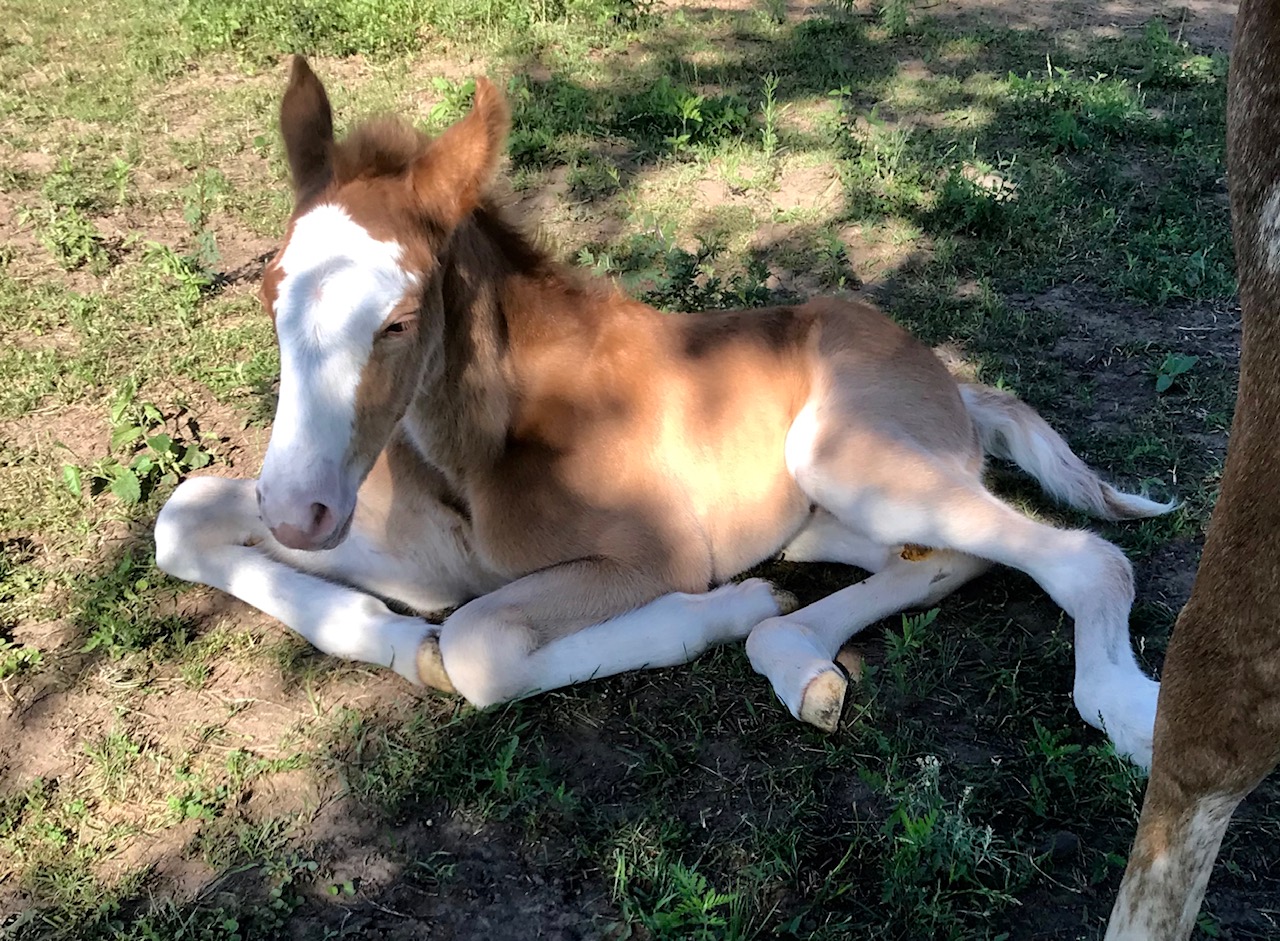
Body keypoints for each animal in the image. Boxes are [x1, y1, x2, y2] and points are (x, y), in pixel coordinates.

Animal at [154, 56, 1172, 768]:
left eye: (398, 320)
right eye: (270, 295)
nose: (300, 510)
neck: (477, 450)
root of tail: (947, 377)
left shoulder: (654, 552)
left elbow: (478, 645)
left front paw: (707, 613)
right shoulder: (404, 551)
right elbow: (183, 517)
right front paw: (404, 642)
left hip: (840, 453)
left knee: (1087, 558)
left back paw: (1131, 714)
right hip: (823, 517)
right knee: (942, 555)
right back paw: (797, 658)